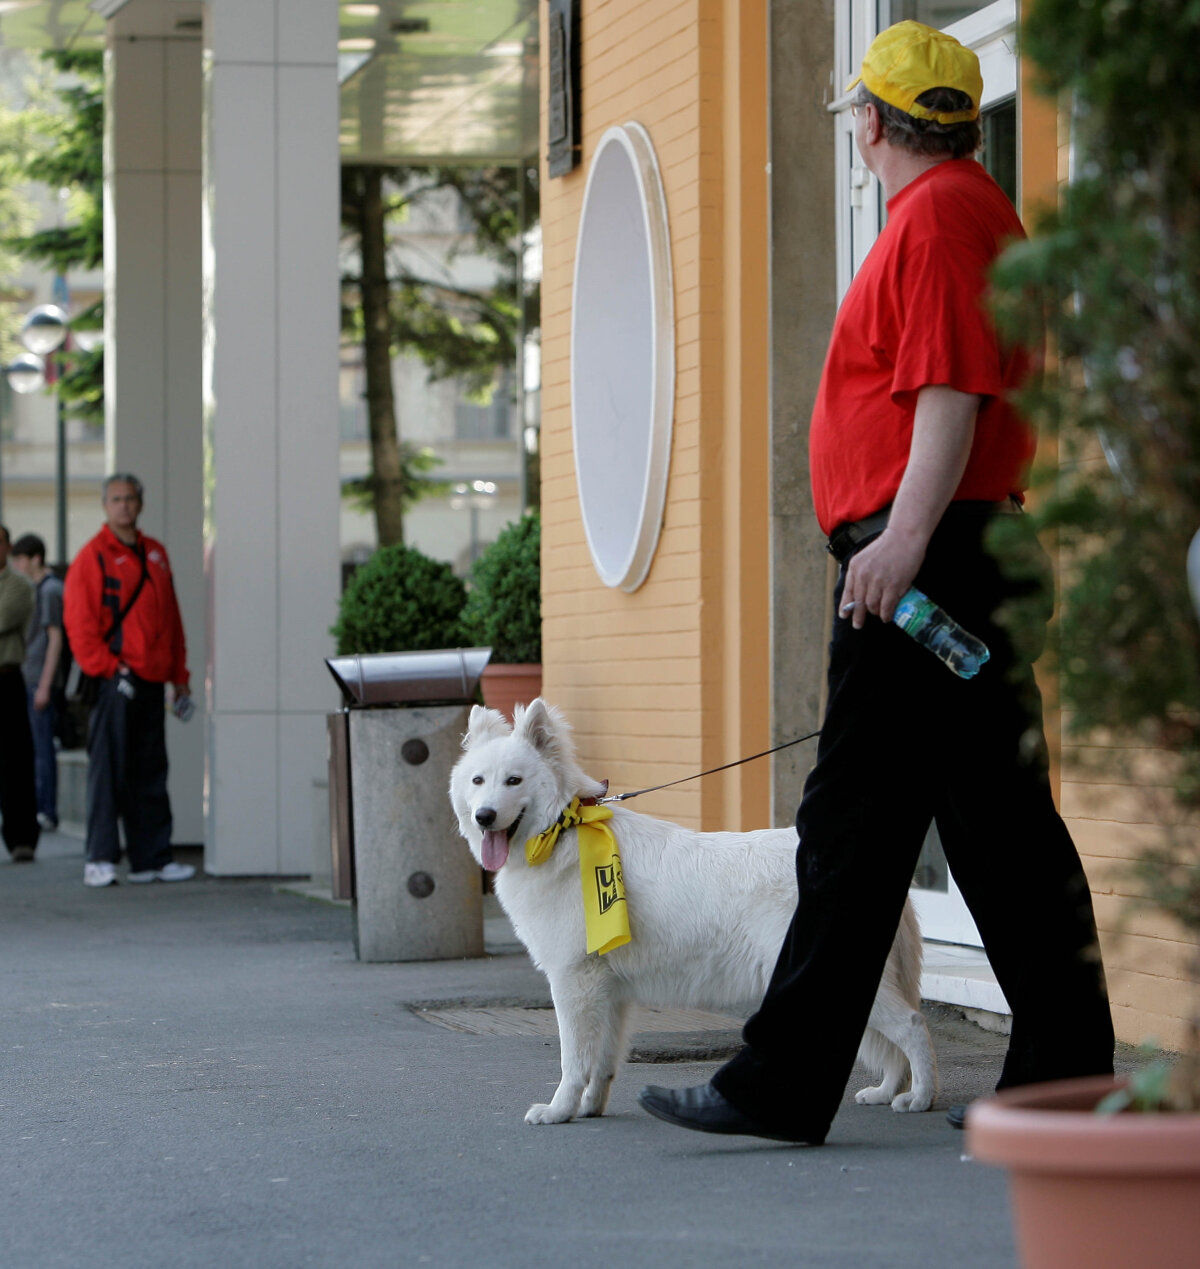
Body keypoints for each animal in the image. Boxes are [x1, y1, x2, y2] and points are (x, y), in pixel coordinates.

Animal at [449, 700, 933, 1126]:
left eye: (514, 781)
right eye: (478, 780)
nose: (484, 816)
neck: (562, 834)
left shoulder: (574, 983)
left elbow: (573, 1061)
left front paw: (559, 1111)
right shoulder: (610, 993)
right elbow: (602, 1063)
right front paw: (589, 1109)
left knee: (912, 1025)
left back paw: (922, 1098)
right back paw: (887, 1092)